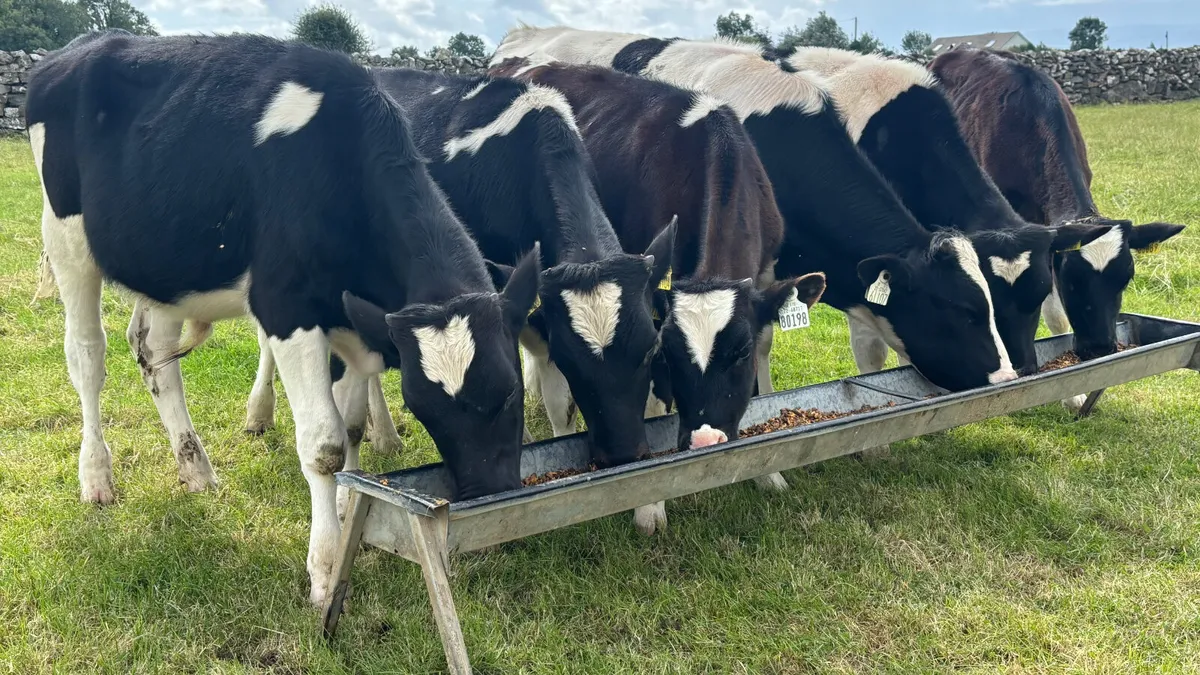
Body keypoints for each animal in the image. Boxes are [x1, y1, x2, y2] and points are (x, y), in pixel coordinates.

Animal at [27, 32, 539, 607]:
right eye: (421, 405)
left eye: (511, 389)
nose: (490, 497)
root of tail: (76, 48)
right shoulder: (286, 308)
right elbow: (324, 445)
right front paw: (325, 566)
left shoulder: (350, 319)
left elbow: (352, 425)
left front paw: (345, 510)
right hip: (67, 238)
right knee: (87, 357)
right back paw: (96, 477)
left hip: (163, 265)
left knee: (153, 352)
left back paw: (195, 469)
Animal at [244, 67, 675, 473]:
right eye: (568, 359)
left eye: (651, 349)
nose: (622, 454)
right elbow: (553, 397)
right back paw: (264, 414)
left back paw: (383, 434)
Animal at [490, 58, 827, 534]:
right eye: (665, 353)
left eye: (739, 352)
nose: (705, 439)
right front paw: (649, 504)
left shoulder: (764, 276)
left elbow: (765, 371)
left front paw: (770, 473)